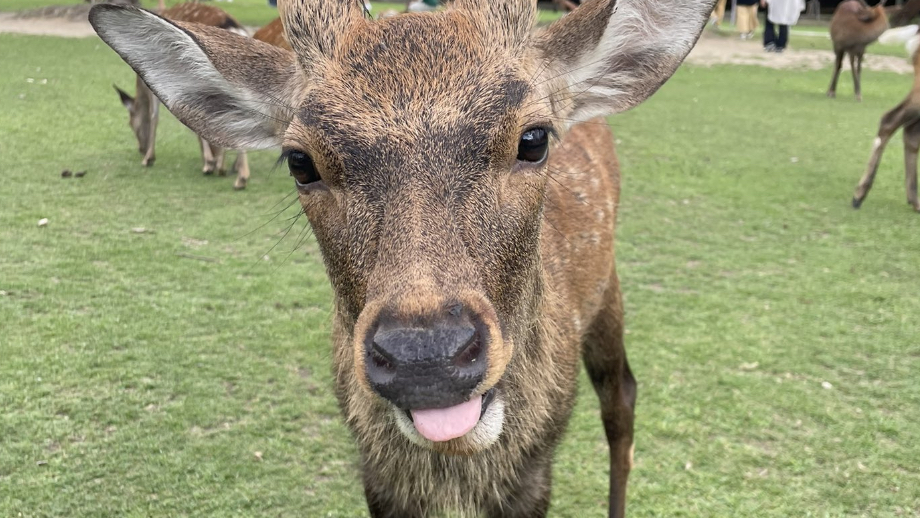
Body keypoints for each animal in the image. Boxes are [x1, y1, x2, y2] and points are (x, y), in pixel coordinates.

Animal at [113, 2, 253, 189]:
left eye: (131, 124)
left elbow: (154, 115)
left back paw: (237, 177)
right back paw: (234, 171)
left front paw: (149, 158)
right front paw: (211, 162)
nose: (140, 149)